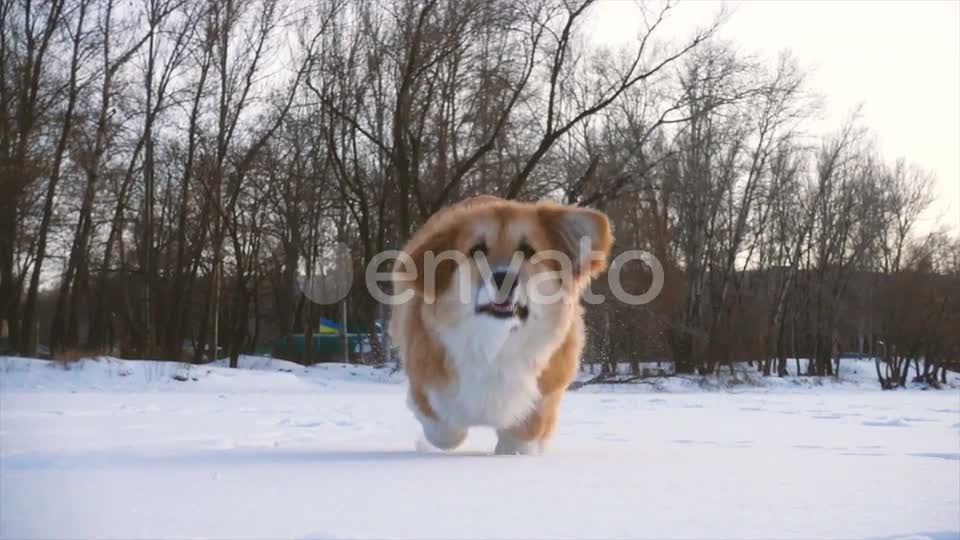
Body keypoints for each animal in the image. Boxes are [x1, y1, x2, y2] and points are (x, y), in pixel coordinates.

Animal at [392, 196, 612, 454]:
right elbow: (443, 427)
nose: (503, 278)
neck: (495, 344)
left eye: (527, 251)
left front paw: (511, 452)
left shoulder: (546, 391)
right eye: (476, 250)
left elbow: (526, 431)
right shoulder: (426, 379)